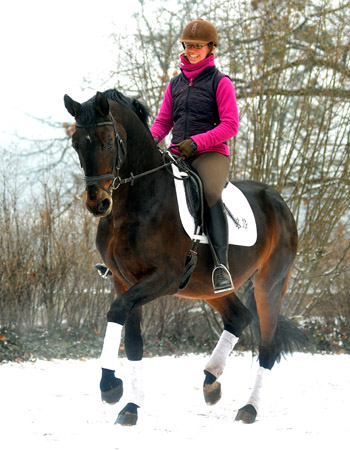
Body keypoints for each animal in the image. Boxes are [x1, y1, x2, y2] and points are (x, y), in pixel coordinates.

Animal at [63, 88, 306, 426]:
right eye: (76, 143)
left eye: (108, 141)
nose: (97, 203)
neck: (135, 202)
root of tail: (278, 201)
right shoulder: (124, 281)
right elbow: (133, 340)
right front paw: (130, 405)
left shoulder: (162, 278)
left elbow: (117, 311)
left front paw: (110, 386)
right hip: (208, 286)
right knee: (238, 317)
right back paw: (211, 381)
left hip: (269, 283)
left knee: (267, 345)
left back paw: (249, 408)